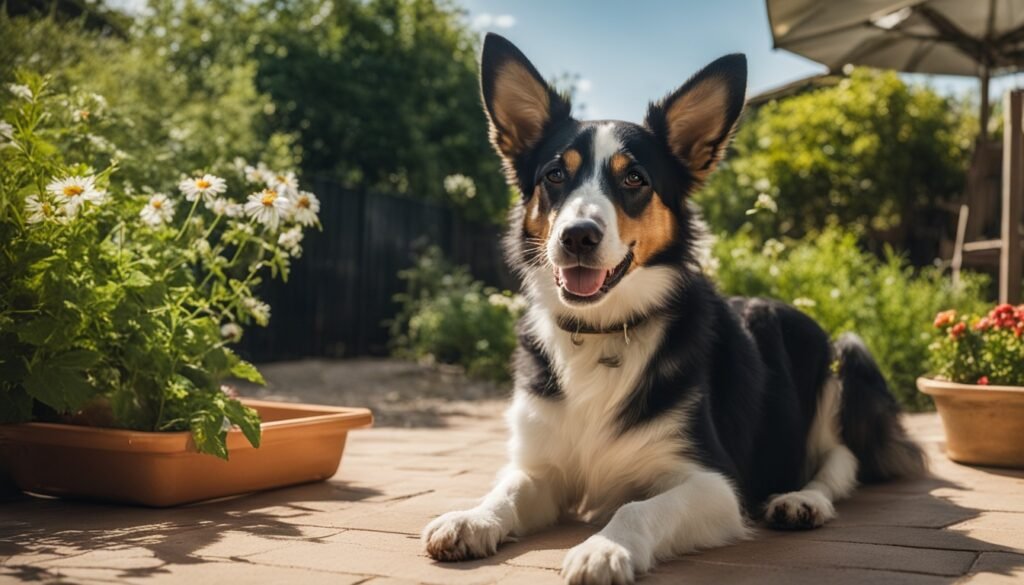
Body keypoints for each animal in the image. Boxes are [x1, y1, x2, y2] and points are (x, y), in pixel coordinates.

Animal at [419, 34, 925, 581]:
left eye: (635, 179)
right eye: (555, 174)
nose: (577, 237)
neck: (604, 331)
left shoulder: (716, 485)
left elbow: (636, 508)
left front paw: (602, 549)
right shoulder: (542, 468)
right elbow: (509, 489)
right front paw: (472, 517)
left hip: (845, 357)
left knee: (840, 461)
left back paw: (802, 500)